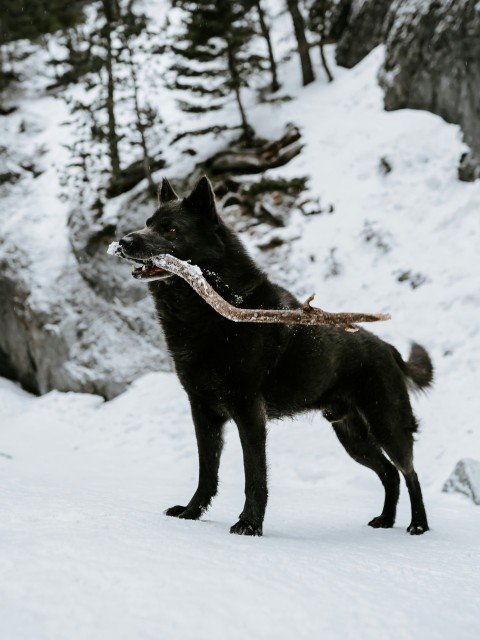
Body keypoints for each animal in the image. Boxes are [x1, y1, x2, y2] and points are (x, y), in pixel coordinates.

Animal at [119, 175, 432, 536]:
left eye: (170, 229)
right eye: (148, 223)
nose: (124, 241)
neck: (211, 310)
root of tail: (388, 349)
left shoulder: (249, 412)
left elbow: (254, 474)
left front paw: (249, 523)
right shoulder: (203, 411)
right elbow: (206, 471)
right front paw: (192, 512)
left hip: (386, 424)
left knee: (409, 472)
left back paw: (418, 525)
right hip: (353, 437)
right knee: (389, 473)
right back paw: (385, 520)